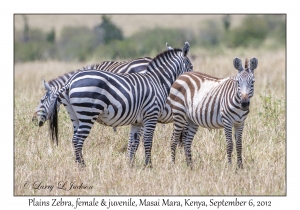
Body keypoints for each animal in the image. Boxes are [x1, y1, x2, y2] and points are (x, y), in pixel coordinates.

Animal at [32, 41, 192, 167]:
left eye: (42, 101)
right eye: (190, 67)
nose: (34, 120)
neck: (158, 81)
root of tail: (70, 82)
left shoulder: (138, 121)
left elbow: (133, 143)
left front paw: (130, 165)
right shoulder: (151, 115)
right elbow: (147, 141)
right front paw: (149, 166)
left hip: (76, 116)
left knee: (74, 139)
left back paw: (78, 165)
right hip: (87, 114)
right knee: (77, 140)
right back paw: (83, 167)